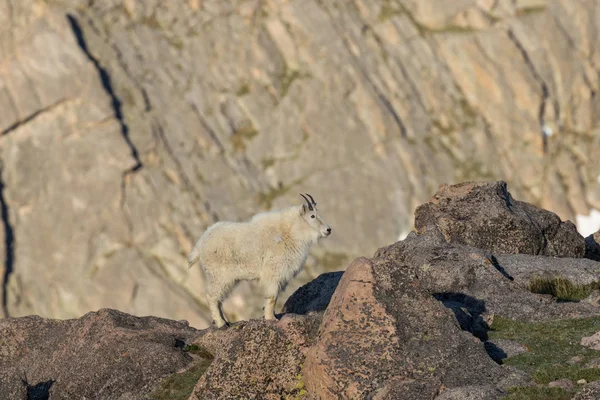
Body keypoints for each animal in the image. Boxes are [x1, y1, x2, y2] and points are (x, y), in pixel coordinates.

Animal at [186, 194, 330, 328]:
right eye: (312, 216)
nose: (328, 230)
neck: (289, 232)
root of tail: (199, 245)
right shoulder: (274, 271)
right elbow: (272, 297)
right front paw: (271, 318)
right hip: (219, 274)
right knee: (212, 296)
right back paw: (221, 323)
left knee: (219, 299)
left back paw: (226, 321)